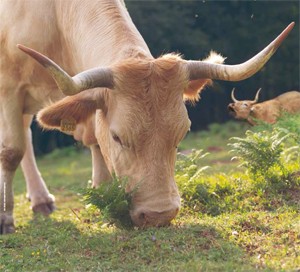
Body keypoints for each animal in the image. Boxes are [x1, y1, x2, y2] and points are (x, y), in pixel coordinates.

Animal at [0, 0, 296, 234]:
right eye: (118, 137)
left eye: (182, 133)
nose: (159, 214)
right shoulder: (9, 88)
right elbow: (12, 151)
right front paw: (6, 219)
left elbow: (93, 138)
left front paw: (102, 192)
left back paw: (41, 199)